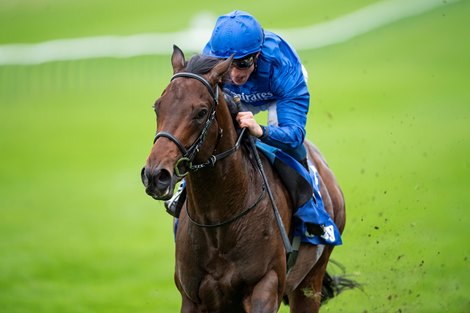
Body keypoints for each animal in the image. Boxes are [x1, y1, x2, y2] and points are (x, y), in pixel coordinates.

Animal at [141, 44, 346, 312]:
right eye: (157, 106)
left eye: (201, 112)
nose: (156, 175)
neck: (219, 221)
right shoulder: (192, 297)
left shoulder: (266, 284)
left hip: (310, 282)